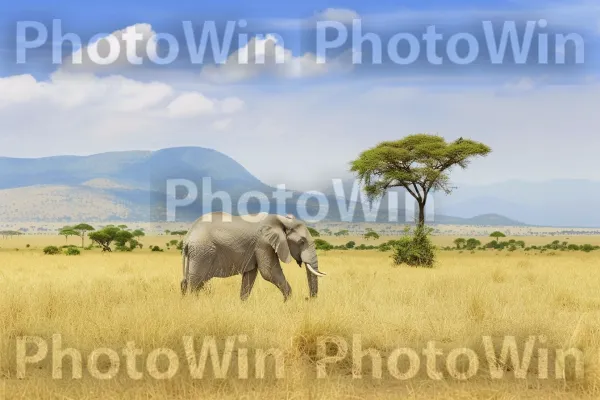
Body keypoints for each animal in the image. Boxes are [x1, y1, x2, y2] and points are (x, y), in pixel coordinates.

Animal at [180, 212, 326, 300]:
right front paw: (288, 302)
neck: (282, 220)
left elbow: (250, 275)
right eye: (301, 242)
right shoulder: (263, 243)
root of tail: (188, 237)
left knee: (189, 282)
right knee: (195, 283)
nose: (307, 298)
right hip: (202, 253)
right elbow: (269, 272)